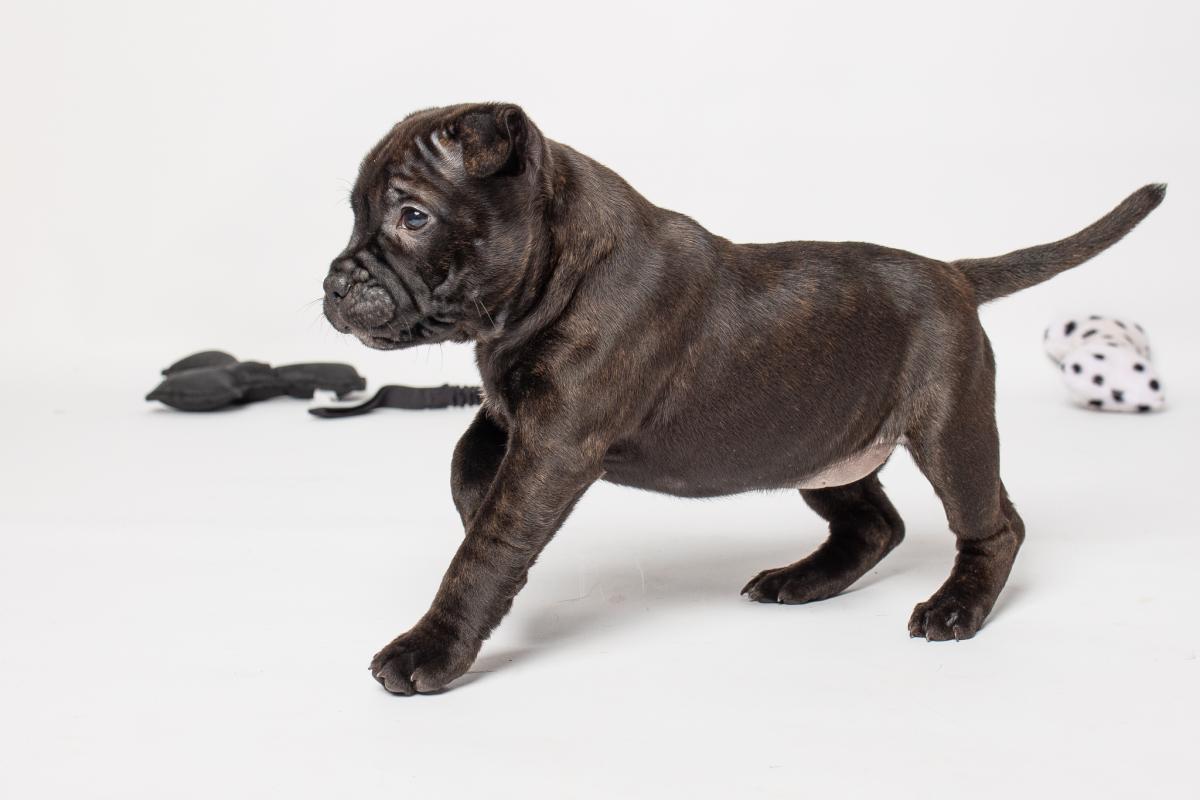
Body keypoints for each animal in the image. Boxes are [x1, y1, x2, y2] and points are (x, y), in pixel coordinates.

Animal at [322, 102, 1164, 695]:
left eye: (413, 216)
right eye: (356, 215)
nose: (334, 283)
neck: (553, 272)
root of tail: (954, 274)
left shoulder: (556, 441)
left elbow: (489, 548)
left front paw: (432, 648)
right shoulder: (514, 416)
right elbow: (469, 468)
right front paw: (474, 512)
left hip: (948, 431)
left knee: (992, 523)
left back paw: (958, 606)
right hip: (822, 444)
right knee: (878, 525)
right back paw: (803, 580)